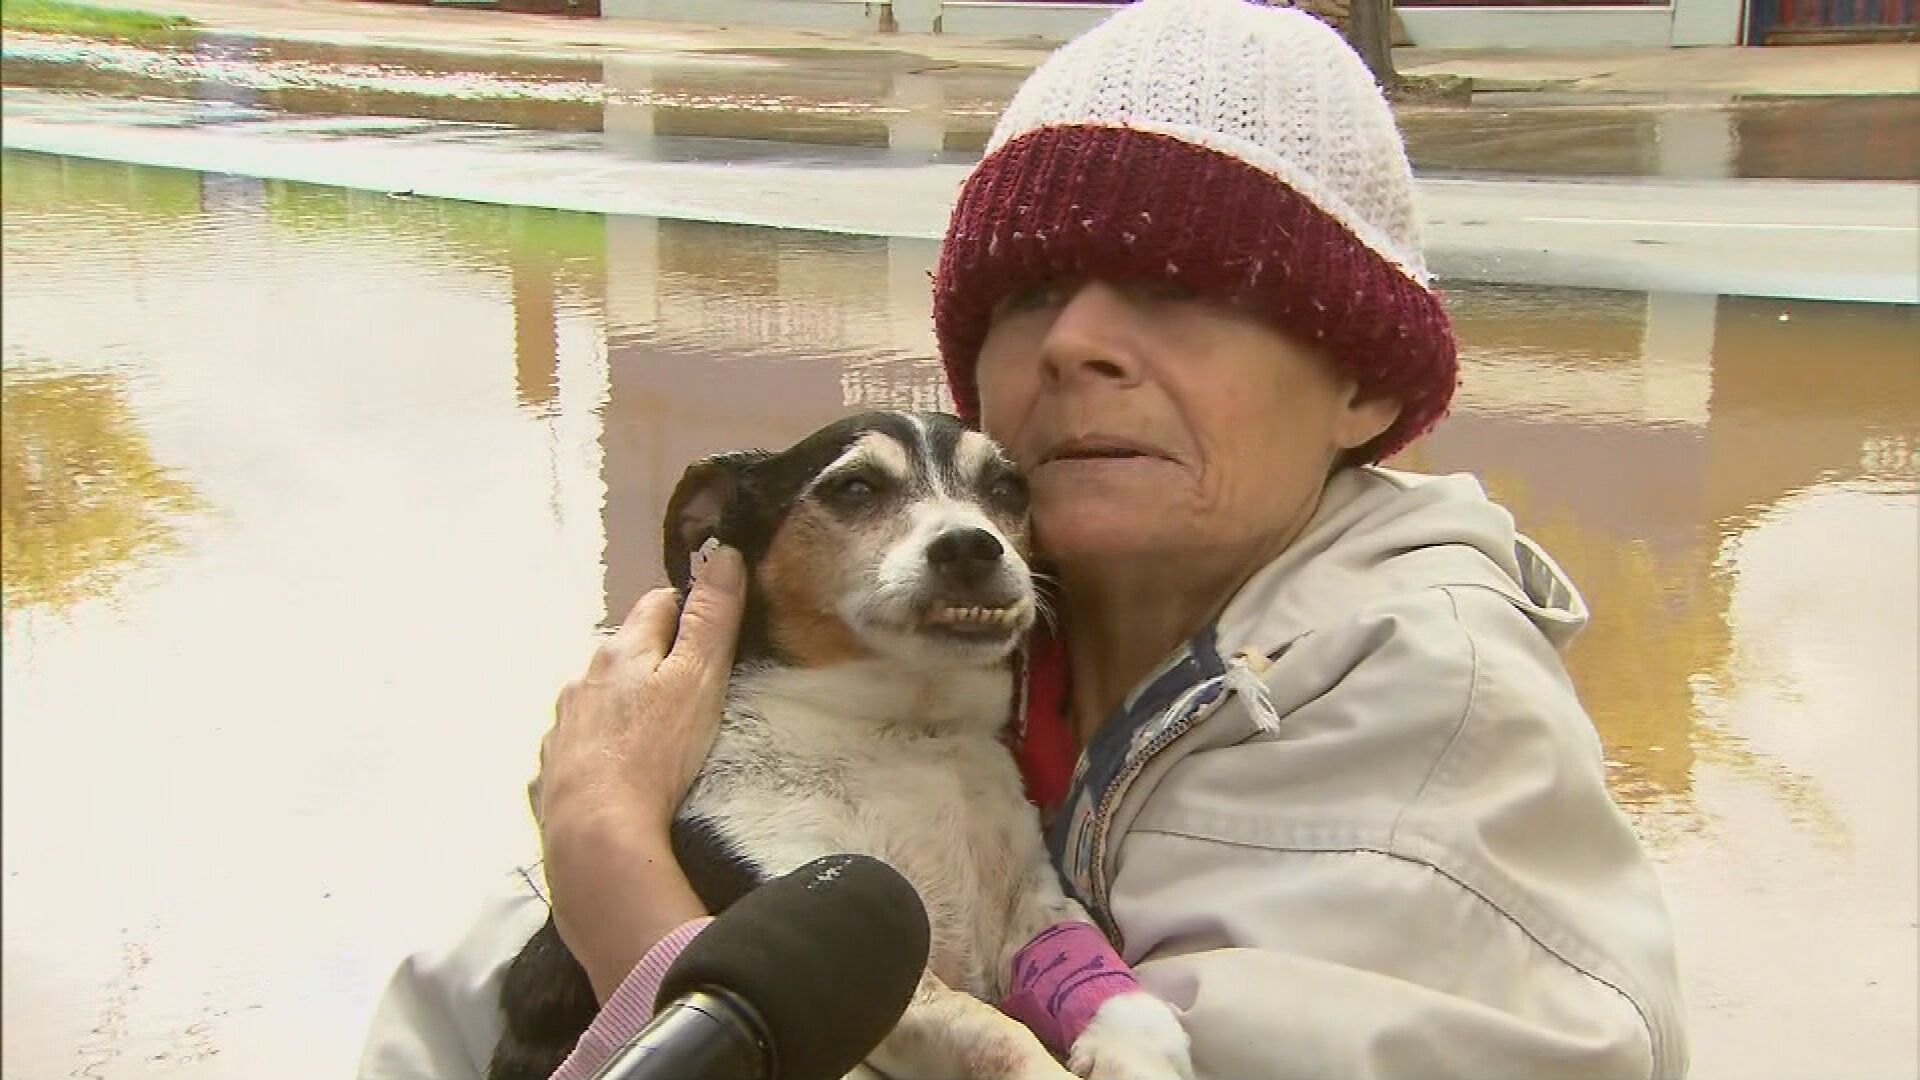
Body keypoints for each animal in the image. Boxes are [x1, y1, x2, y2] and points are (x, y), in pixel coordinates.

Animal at [487, 411, 1190, 1076]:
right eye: (856, 487)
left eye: (1006, 488)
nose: (970, 545)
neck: (906, 732)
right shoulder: (843, 944)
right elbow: (994, 1032)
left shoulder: (1033, 902)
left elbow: (1101, 977)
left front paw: (1141, 1050)